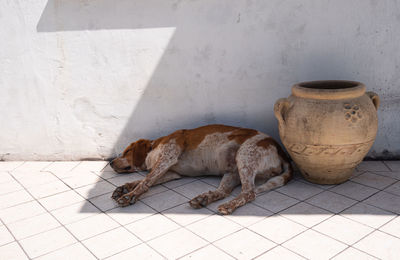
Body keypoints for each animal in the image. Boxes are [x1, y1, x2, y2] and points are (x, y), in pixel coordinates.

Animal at [109, 125, 290, 214]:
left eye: (126, 151)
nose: (110, 163)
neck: (153, 148)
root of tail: (280, 149)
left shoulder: (168, 157)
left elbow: (145, 181)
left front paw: (130, 195)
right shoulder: (172, 172)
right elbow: (145, 179)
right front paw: (125, 187)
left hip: (245, 156)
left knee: (248, 193)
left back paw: (228, 206)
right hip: (234, 171)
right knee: (223, 192)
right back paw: (204, 199)